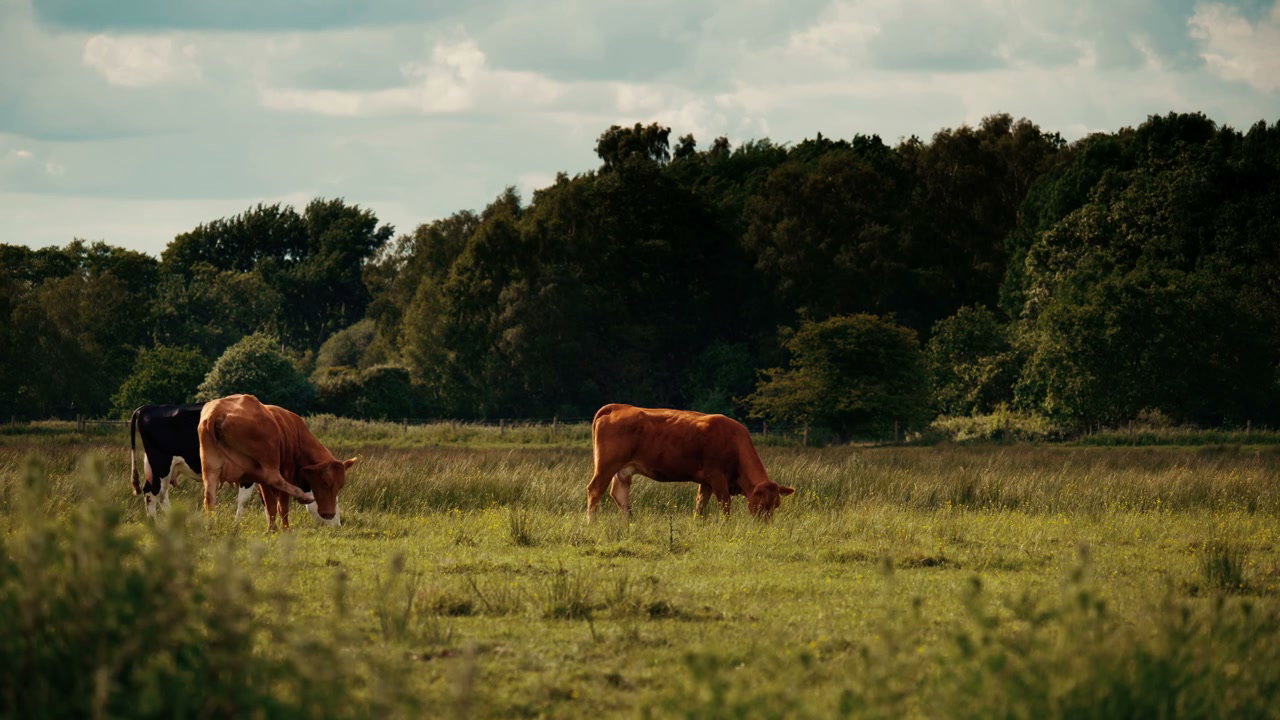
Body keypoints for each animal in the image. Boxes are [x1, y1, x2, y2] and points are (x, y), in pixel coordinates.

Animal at [129, 404, 257, 519]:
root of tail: (147, 407)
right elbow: (243, 500)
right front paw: (237, 524)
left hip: (152, 466)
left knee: (150, 492)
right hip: (161, 464)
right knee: (158, 493)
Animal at [197, 393, 355, 530]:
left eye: (340, 486)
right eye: (325, 483)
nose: (330, 515)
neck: (296, 435)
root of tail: (218, 412)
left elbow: (270, 505)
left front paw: (273, 528)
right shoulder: (286, 472)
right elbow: (281, 506)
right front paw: (284, 528)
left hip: (211, 468)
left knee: (209, 497)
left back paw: (210, 523)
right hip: (268, 460)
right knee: (274, 479)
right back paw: (302, 495)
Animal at [586, 403, 795, 520]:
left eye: (776, 505)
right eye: (761, 505)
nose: (764, 527)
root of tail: (618, 406)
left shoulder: (706, 482)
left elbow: (700, 506)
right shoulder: (717, 477)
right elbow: (725, 505)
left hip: (624, 469)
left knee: (619, 494)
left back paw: (630, 522)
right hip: (606, 465)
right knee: (595, 490)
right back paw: (592, 523)